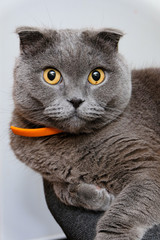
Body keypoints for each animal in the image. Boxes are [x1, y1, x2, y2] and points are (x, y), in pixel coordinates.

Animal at [10, 26, 160, 240]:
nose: (76, 100)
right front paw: (98, 196)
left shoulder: (148, 163)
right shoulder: (52, 176)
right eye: (51, 75)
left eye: (96, 76)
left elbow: (126, 209)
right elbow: (60, 191)